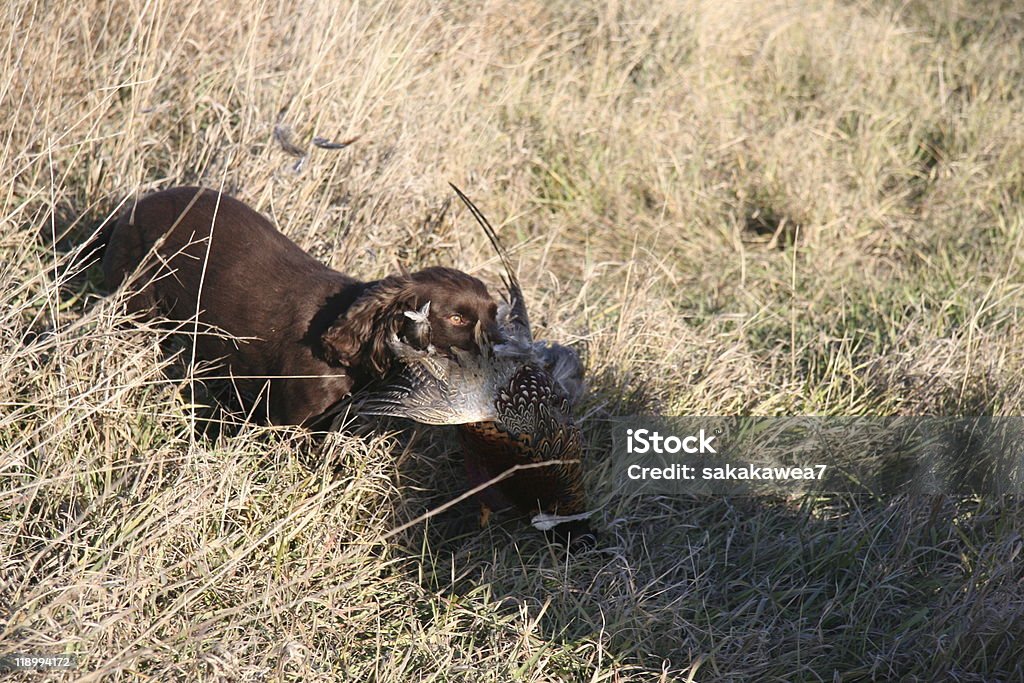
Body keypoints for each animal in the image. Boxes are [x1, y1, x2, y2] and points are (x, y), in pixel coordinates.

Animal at [101, 184, 497, 423]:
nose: (499, 349)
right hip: (138, 305)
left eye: (494, 314)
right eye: (457, 318)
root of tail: (130, 210)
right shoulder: (288, 421)